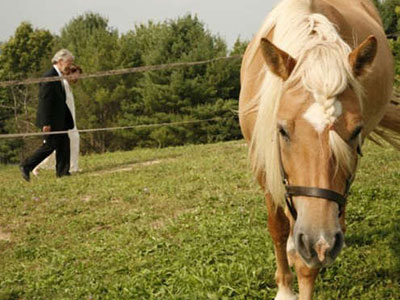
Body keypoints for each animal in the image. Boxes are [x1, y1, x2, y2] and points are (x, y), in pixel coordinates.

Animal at [239, 0, 398, 300]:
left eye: (355, 131)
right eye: (282, 130)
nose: (321, 241)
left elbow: (307, 261)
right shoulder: (263, 167)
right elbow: (278, 227)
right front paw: (284, 288)